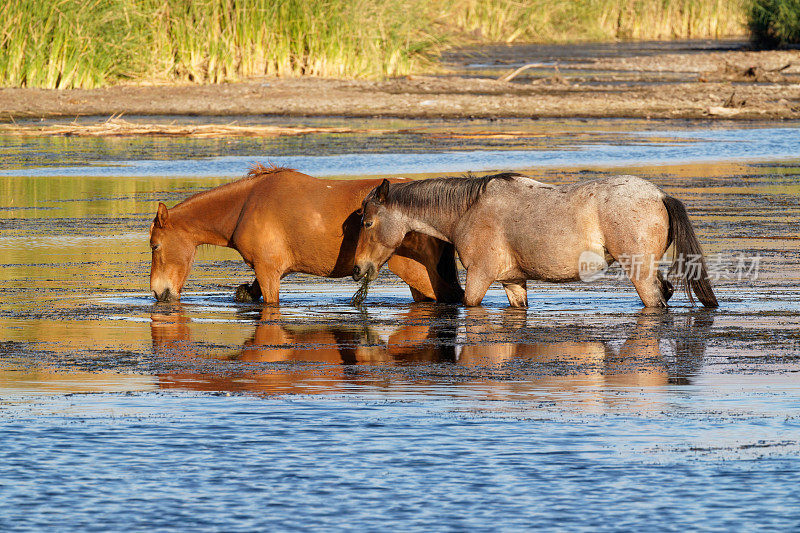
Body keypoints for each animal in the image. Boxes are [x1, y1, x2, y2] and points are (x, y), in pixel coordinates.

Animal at [149, 162, 462, 304]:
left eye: (154, 246)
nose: (157, 291)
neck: (245, 205)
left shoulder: (268, 271)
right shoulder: (267, 272)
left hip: (415, 271)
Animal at [354, 172, 720, 310]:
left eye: (368, 222)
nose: (358, 269)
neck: (468, 210)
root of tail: (659, 194)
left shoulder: (479, 279)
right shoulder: (513, 281)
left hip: (640, 274)